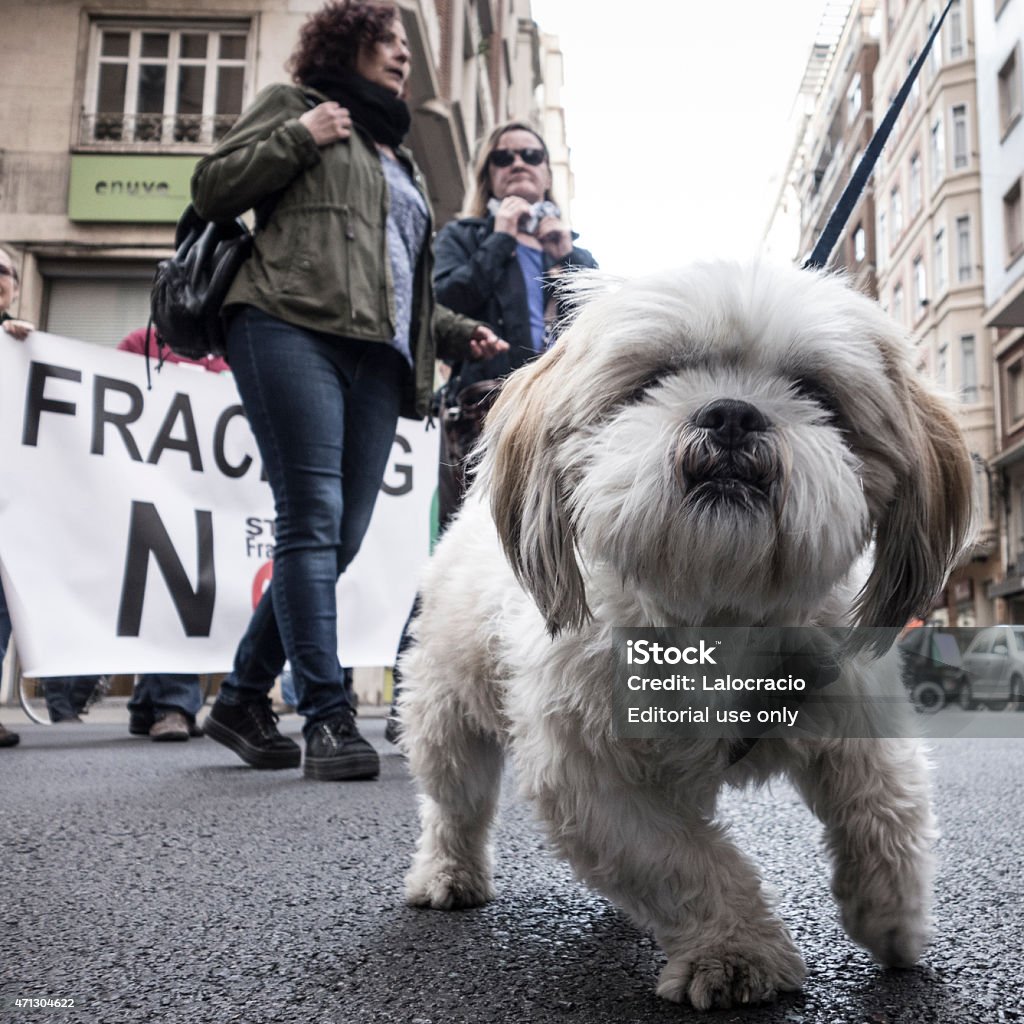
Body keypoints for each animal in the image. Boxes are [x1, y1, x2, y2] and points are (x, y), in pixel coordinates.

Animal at [395, 262, 970, 1007]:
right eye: (653, 379)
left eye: (816, 390)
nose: (732, 413)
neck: (717, 609)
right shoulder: (589, 773)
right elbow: (684, 861)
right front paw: (737, 952)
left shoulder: (852, 701)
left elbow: (886, 803)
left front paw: (893, 915)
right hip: (448, 710)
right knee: (455, 802)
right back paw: (448, 873)